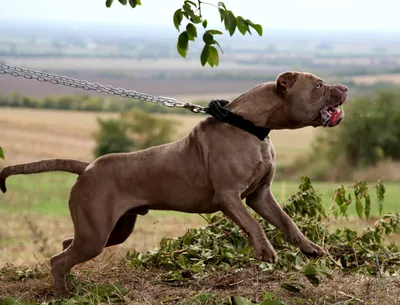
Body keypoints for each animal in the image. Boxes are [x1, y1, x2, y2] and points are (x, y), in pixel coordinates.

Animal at [0, 70, 346, 294]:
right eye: (318, 85)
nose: (344, 87)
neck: (251, 127)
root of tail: (86, 167)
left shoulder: (259, 196)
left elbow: (288, 222)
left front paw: (312, 249)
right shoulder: (229, 197)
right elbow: (254, 225)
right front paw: (265, 252)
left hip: (112, 230)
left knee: (65, 246)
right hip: (96, 233)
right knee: (59, 259)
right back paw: (62, 294)